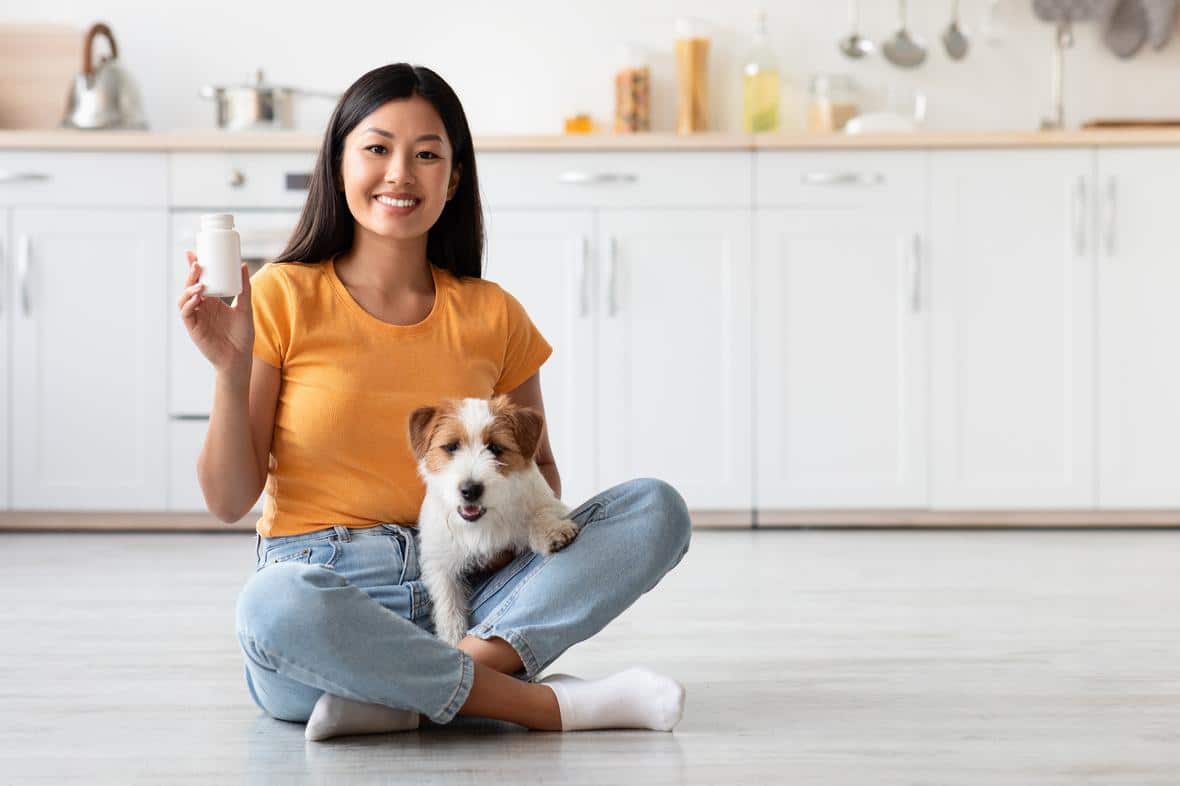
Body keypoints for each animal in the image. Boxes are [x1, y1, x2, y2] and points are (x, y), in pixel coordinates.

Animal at [408, 391, 578, 642]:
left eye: (495, 448)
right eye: (451, 447)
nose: (470, 490)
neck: (481, 524)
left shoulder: (545, 501)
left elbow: (539, 512)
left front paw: (552, 531)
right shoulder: (439, 561)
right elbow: (448, 605)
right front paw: (453, 639)